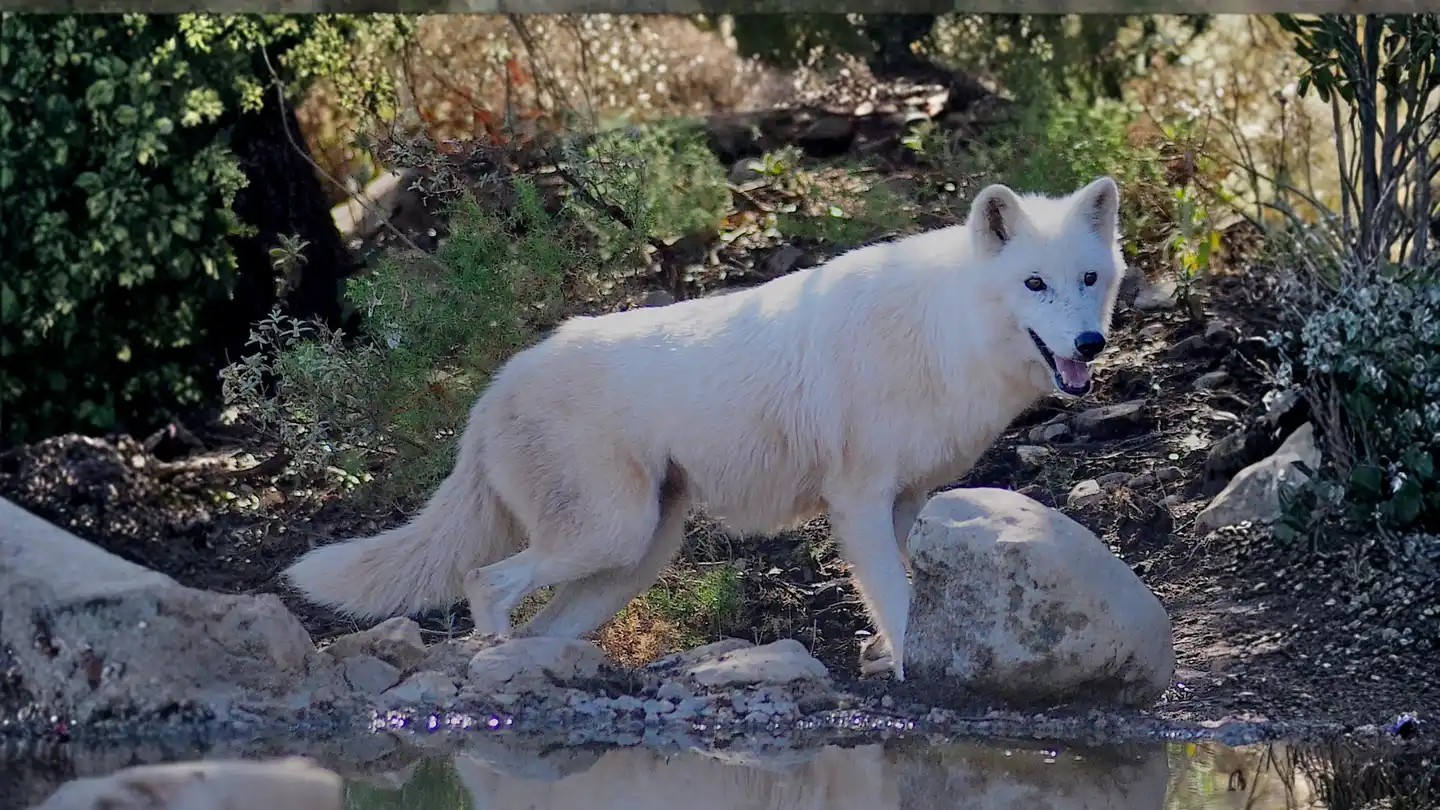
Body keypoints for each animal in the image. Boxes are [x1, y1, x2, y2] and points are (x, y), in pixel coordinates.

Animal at [283, 175, 1127, 681]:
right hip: (611, 537)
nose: (1090, 344)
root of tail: (493, 391)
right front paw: (909, 669)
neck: (941, 331)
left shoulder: (907, 502)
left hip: (631, 558)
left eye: (1089, 278)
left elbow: (905, 592)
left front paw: (889, 655)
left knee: (537, 620)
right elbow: (896, 594)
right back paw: (491, 657)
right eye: (1033, 283)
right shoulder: (858, 503)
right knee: (483, 580)